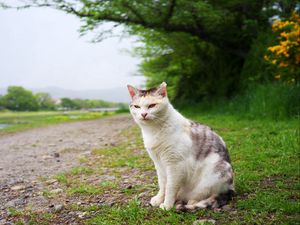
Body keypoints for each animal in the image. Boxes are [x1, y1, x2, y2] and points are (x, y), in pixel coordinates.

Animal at [126, 82, 234, 211]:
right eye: (137, 107)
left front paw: (167, 205)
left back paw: (188, 202)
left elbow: (170, 187)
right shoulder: (159, 164)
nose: (143, 114)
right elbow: (162, 184)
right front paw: (159, 199)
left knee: (204, 196)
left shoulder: (175, 165)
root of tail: (231, 187)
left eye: (152, 105)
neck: (153, 131)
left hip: (214, 175)